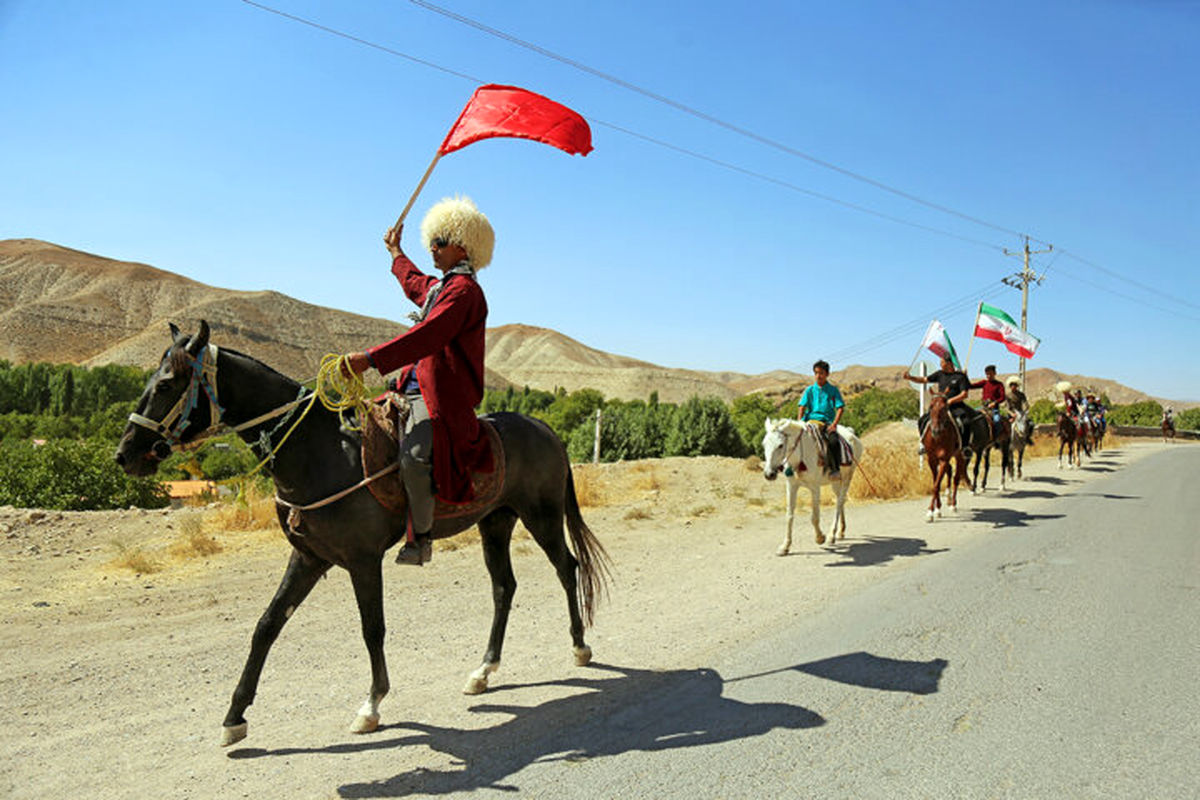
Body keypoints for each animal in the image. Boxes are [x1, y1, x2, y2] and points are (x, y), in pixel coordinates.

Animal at [115, 321, 609, 748]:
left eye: (166, 384)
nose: (125, 454)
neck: (320, 453)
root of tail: (543, 428)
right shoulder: (309, 558)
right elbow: (267, 626)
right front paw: (234, 717)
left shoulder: (362, 559)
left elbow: (372, 628)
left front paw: (371, 705)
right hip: (496, 522)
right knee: (504, 587)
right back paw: (483, 671)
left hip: (542, 516)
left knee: (567, 567)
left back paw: (580, 646)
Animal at [758, 419, 864, 556]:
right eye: (764, 444)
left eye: (780, 445)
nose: (769, 474)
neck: (800, 457)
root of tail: (852, 433)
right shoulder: (791, 486)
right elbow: (789, 516)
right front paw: (785, 546)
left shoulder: (815, 488)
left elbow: (814, 518)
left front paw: (820, 537)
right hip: (836, 481)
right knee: (841, 500)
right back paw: (840, 532)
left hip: (847, 478)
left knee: (839, 502)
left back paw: (831, 535)